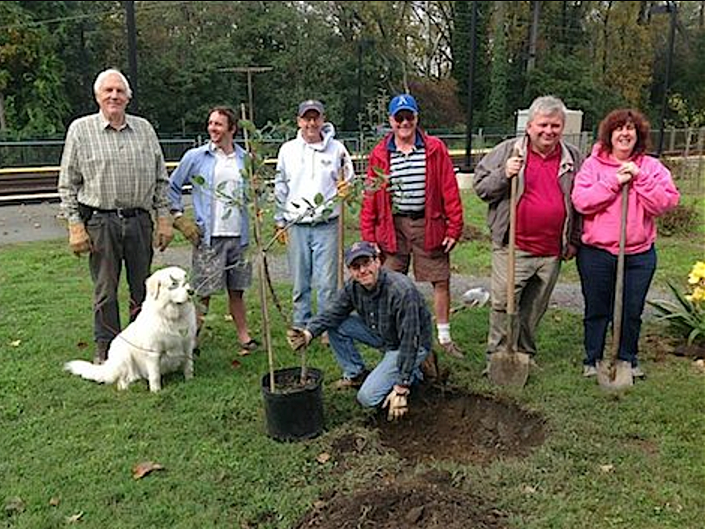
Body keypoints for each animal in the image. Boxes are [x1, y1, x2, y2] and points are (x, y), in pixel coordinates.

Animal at [64, 264, 197, 392]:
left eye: (186, 280)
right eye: (174, 283)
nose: (191, 291)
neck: (173, 316)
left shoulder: (187, 344)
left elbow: (189, 365)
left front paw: (190, 380)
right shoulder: (153, 351)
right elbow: (155, 375)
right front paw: (156, 391)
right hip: (124, 355)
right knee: (121, 378)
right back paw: (124, 387)